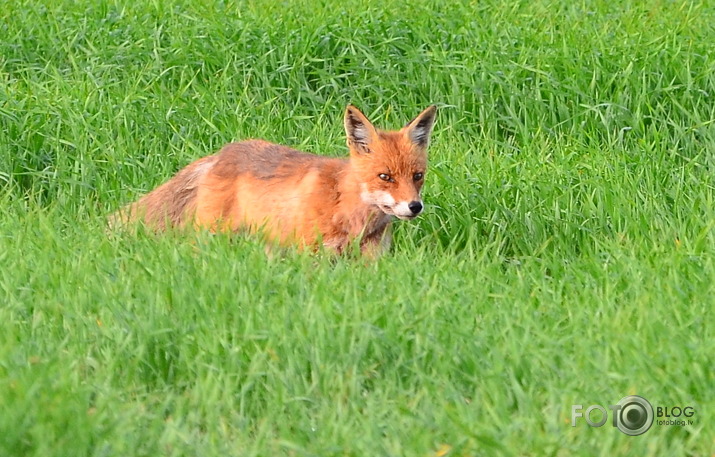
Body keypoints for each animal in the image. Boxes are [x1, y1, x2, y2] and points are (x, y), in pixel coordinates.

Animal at [111, 105, 436, 256]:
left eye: (417, 176)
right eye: (385, 177)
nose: (414, 206)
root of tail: (221, 153)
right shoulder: (311, 255)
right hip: (210, 236)